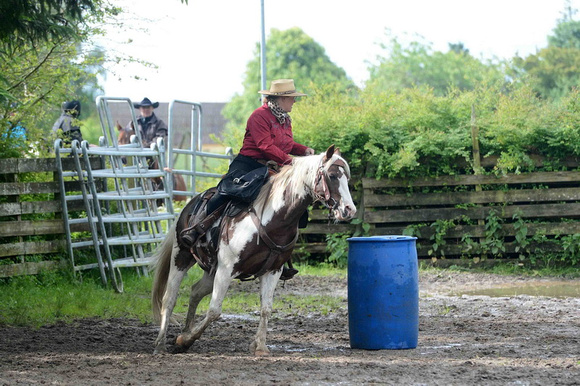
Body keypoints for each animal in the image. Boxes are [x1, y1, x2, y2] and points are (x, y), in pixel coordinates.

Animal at [148, 146, 358, 356]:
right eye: (332, 175)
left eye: (347, 177)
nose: (349, 210)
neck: (274, 220)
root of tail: (190, 204)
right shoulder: (227, 269)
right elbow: (214, 311)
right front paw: (185, 341)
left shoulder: (273, 271)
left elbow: (266, 308)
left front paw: (260, 347)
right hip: (181, 256)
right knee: (169, 299)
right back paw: (160, 344)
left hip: (211, 270)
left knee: (195, 292)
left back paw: (184, 331)